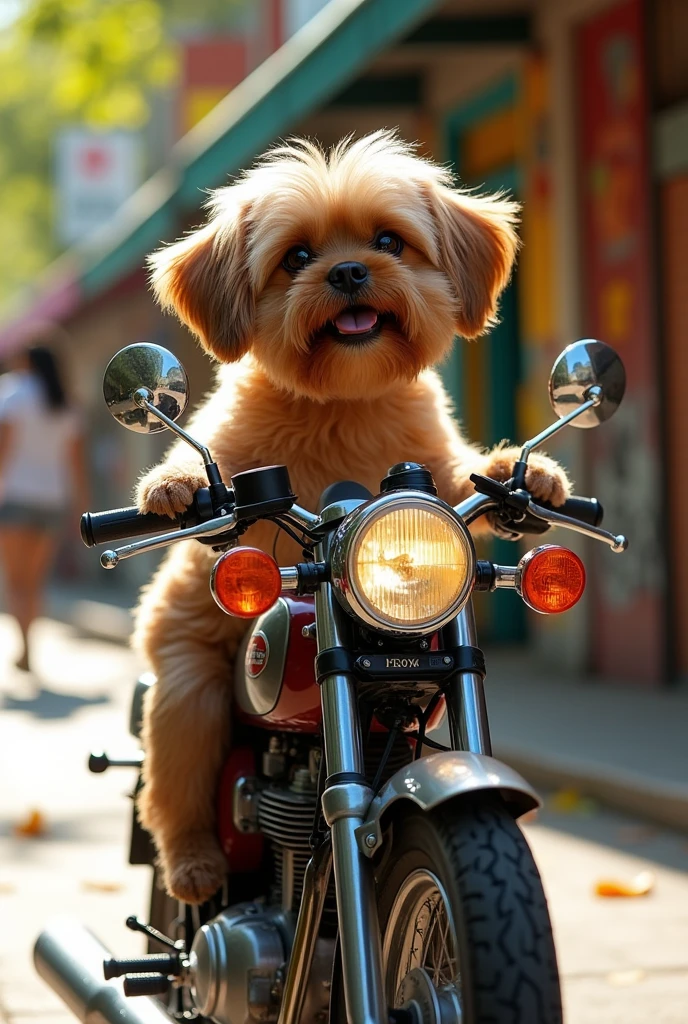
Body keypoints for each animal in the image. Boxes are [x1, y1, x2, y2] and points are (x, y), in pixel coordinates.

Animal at [133, 134, 569, 905]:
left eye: (389, 241)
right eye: (297, 257)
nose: (347, 270)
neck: (342, 401)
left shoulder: (434, 467)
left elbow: (467, 476)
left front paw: (530, 474)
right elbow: (213, 470)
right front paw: (177, 483)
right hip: (184, 680)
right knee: (174, 784)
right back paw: (192, 866)